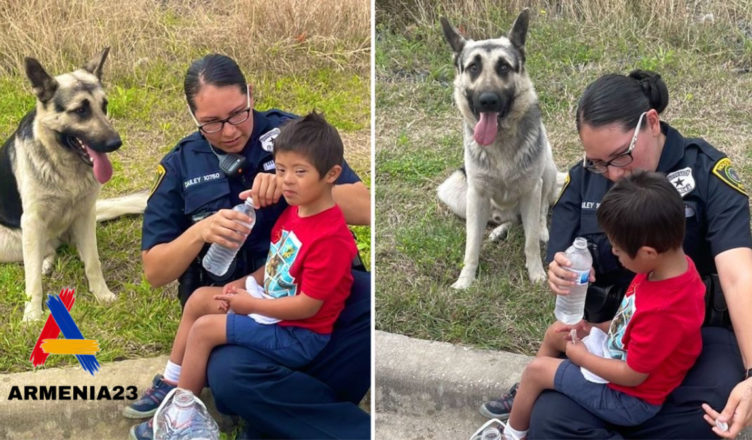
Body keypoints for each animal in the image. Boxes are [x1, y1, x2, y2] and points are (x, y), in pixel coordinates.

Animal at [0, 49, 148, 322]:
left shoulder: (85, 214)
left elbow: (93, 262)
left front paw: (102, 294)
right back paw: (44, 263)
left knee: (57, 248)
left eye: (104, 106)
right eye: (80, 110)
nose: (116, 143)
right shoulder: (32, 221)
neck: (65, 168)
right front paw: (32, 314)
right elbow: (32, 280)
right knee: (42, 253)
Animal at [438, 10, 560, 288]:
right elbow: (471, 246)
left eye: (504, 67)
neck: (501, 141)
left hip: (547, 170)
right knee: (507, 221)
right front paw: (465, 280)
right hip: (453, 191)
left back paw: (539, 229)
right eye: (473, 67)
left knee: (538, 214)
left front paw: (536, 274)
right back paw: (498, 229)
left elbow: (530, 242)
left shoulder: (531, 190)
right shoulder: (476, 195)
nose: (488, 101)